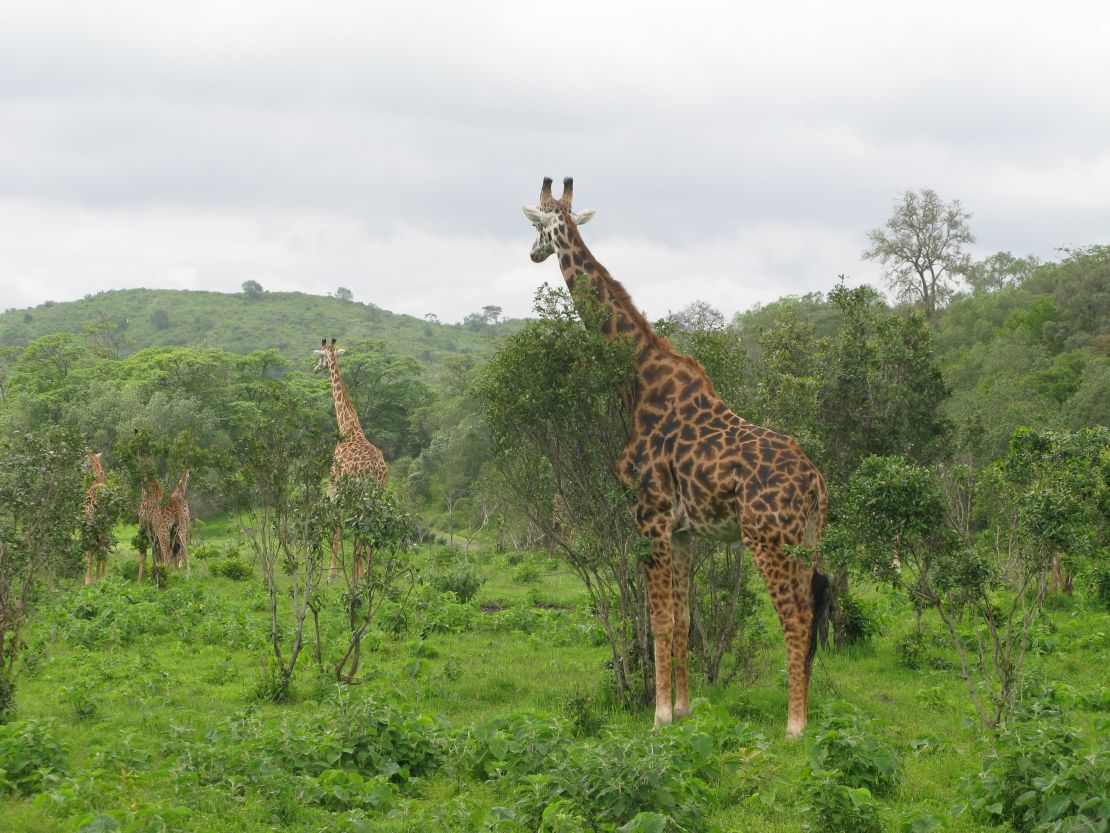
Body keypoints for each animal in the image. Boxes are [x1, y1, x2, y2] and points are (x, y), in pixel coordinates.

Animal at [313, 335, 390, 581]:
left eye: (320, 357)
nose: (314, 368)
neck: (347, 427)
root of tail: (377, 471)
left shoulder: (336, 481)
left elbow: (337, 524)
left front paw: (332, 574)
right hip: (378, 494)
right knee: (371, 529)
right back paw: (366, 574)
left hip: (361, 493)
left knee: (362, 528)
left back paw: (359, 575)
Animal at [523, 176, 830, 737]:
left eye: (536, 226)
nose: (534, 254)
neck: (637, 380)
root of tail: (817, 482)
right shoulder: (685, 530)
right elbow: (685, 619)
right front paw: (685, 710)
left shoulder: (649, 515)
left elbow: (659, 619)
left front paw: (659, 715)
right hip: (806, 541)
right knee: (812, 611)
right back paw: (809, 715)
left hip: (767, 538)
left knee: (795, 618)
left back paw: (795, 726)